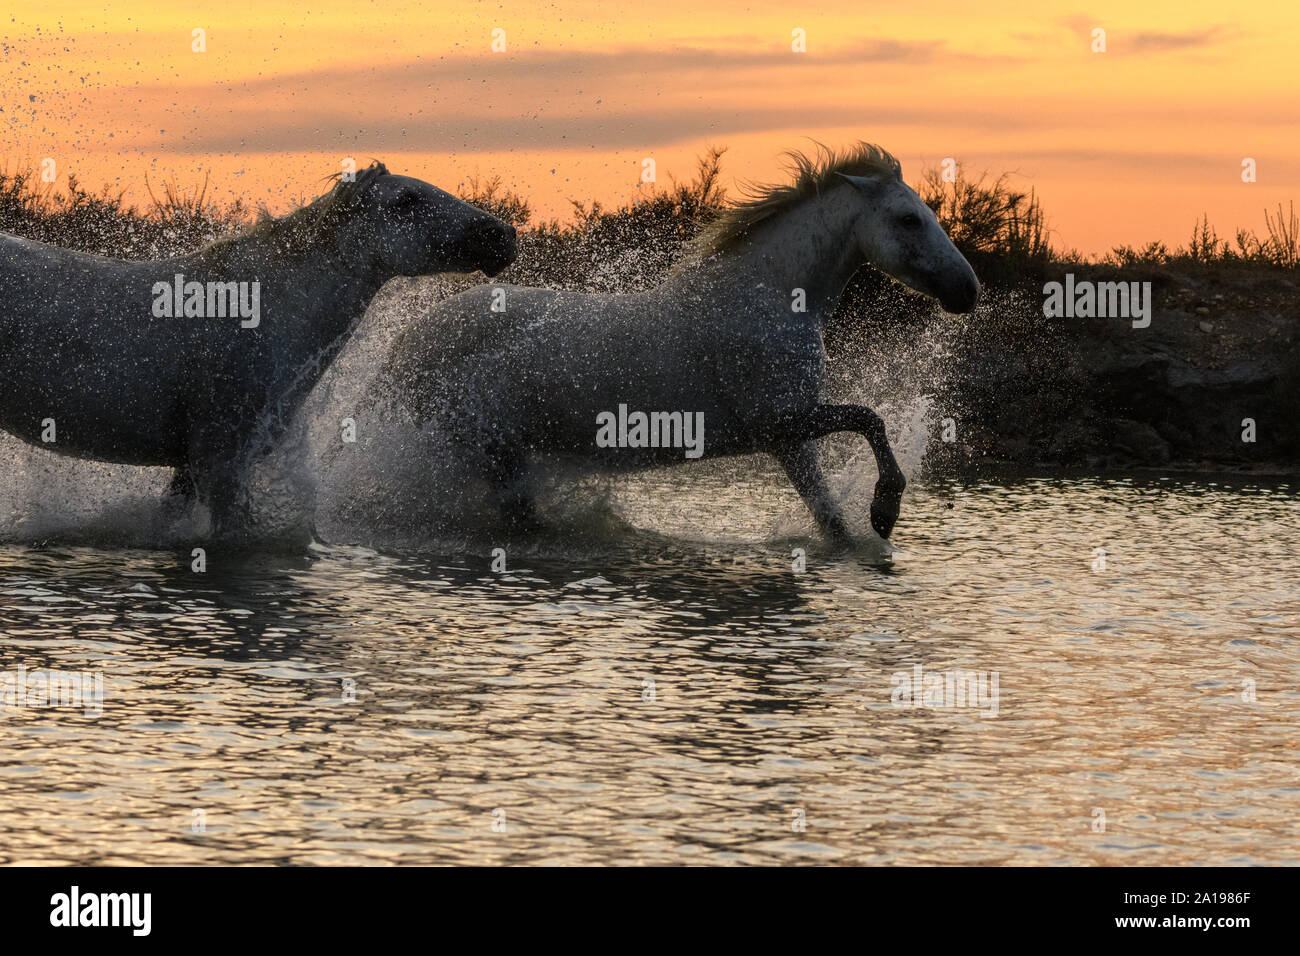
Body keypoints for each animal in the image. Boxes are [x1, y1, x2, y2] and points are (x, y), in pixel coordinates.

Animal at [371, 145, 972, 541]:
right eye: (909, 219)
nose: (968, 290)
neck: (768, 296)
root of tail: (405, 347)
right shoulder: (782, 420)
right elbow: (870, 420)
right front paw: (885, 510)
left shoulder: (789, 438)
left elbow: (832, 521)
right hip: (494, 455)